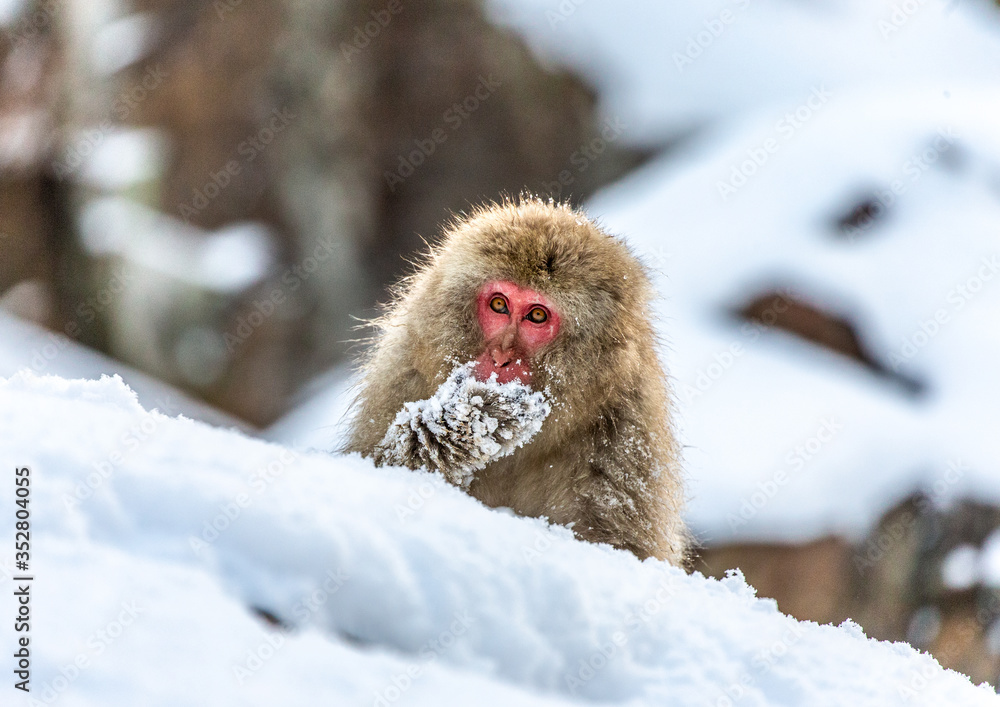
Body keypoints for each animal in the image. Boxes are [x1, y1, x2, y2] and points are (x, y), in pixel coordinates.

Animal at [344, 197, 687, 564]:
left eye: (537, 315)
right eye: (499, 304)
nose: (500, 357)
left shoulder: (626, 440)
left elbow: (619, 549)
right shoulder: (404, 374)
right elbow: (373, 465)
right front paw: (470, 420)